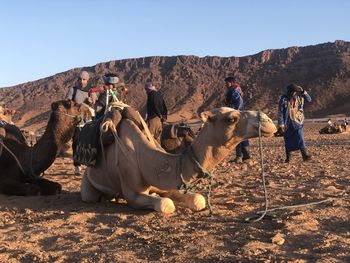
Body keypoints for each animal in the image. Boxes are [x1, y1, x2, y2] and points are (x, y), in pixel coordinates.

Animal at [80, 108, 278, 214]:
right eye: (232, 119)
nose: (269, 121)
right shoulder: (132, 192)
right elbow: (166, 204)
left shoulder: (164, 184)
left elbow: (198, 199)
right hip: (88, 186)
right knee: (91, 196)